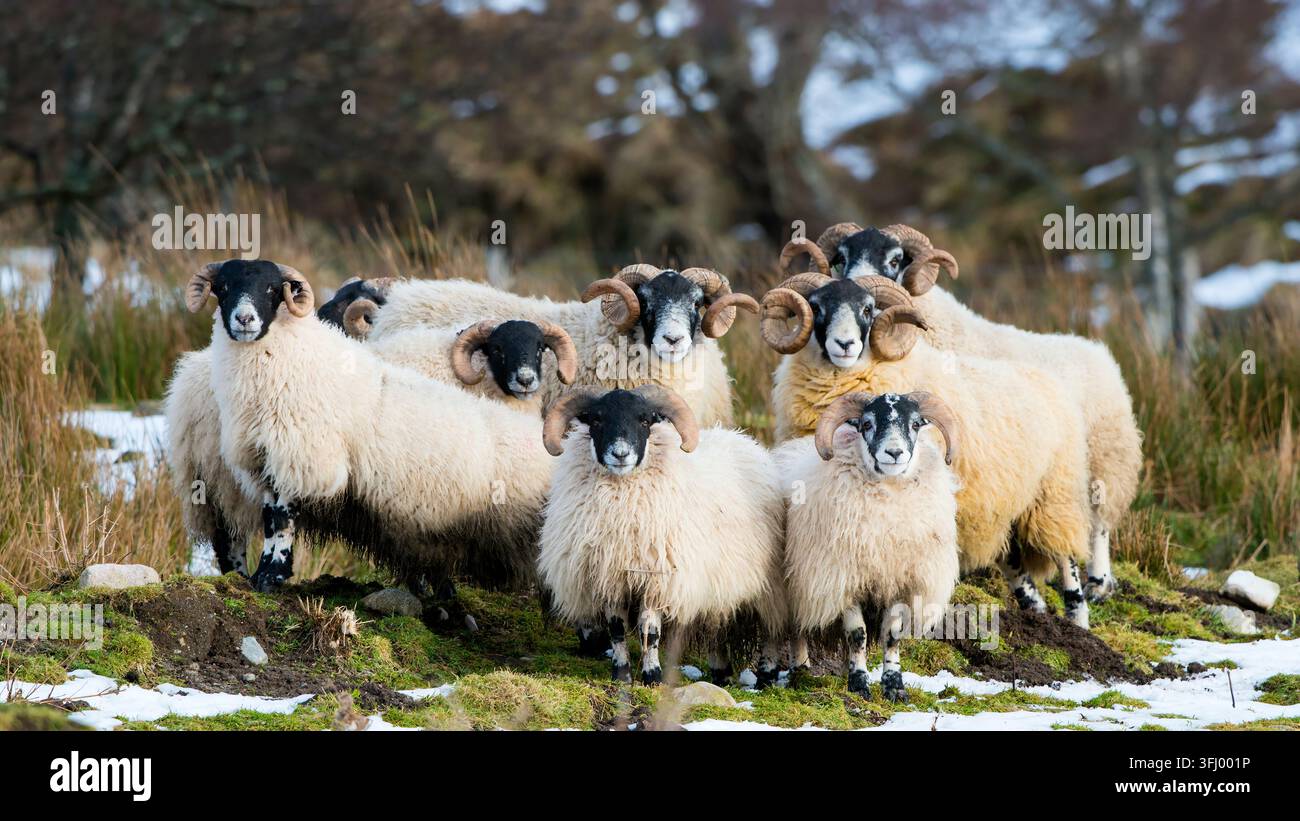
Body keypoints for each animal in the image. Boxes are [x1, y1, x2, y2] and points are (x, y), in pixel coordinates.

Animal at [178, 258, 555, 594]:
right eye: (223, 287)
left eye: (272, 288)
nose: (245, 319)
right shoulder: (277, 456)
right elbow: (277, 520)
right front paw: (268, 576)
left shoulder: (294, 457)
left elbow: (280, 519)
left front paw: (271, 576)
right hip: (216, 483)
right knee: (230, 540)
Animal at [536, 384, 788, 686]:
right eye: (596, 420)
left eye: (645, 420)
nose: (620, 454)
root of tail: (745, 440)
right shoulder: (609, 576)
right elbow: (616, 629)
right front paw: (621, 675)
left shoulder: (657, 578)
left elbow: (650, 630)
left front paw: (653, 676)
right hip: (717, 582)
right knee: (716, 625)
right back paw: (721, 672)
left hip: (769, 584)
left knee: (773, 629)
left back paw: (767, 675)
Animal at [760, 273, 1094, 628]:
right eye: (817, 307)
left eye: (868, 308)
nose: (845, 345)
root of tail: (1049, 379)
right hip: (1011, 505)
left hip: (1054, 495)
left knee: (1068, 560)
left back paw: (1078, 621)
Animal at [776, 391, 961, 700]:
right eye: (866, 424)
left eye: (915, 424)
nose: (894, 453)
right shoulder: (845, 579)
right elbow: (857, 635)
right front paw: (859, 684)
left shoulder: (898, 579)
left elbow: (892, 634)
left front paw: (894, 686)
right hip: (795, 587)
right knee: (796, 629)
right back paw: (800, 670)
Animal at [784, 223, 1141, 603]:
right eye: (841, 257)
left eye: (895, 260)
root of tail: (1096, 350)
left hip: (1100, 464)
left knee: (1098, 524)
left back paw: (1098, 582)